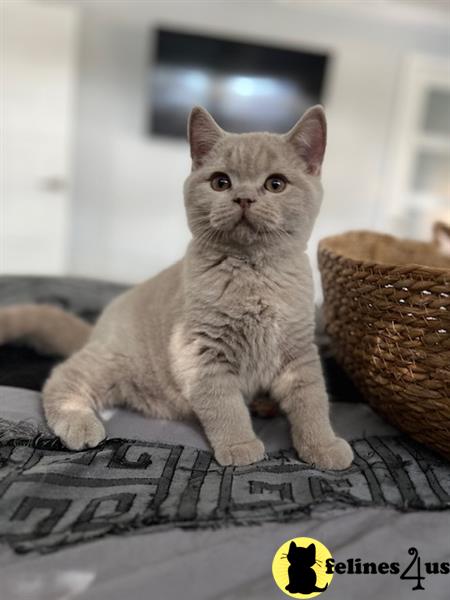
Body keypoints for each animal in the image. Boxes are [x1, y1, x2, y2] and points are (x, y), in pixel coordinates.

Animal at [0, 109, 354, 474]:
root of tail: (98, 328)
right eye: (221, 182)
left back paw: (265, 404)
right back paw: (78, 423)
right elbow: (225, 406)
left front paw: (322, 446)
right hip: (110, 363)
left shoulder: (299, 350)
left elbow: (312, 400)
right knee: (62, 377)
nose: (243, 198)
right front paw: (239, 445)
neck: (254, 274)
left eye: (276, 184)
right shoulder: (202, 352)